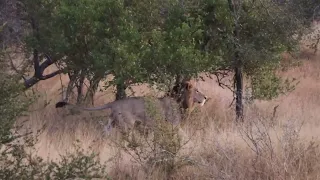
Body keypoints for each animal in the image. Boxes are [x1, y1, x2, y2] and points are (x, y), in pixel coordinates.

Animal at [55, 80, 208, 134]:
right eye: (197, 90)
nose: (206, 98)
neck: (179, 100)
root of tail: (114, 103)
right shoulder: (173, 124)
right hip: (127, 125)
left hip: (111, 123)